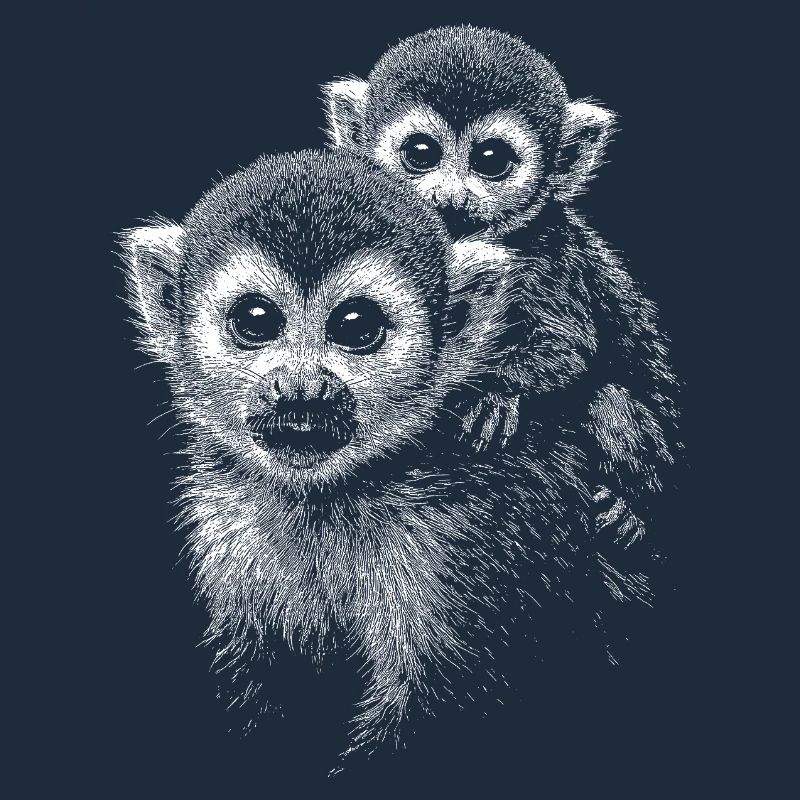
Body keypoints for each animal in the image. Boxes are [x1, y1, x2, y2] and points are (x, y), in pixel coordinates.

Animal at [120, 148, 648, 766]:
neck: (332, 498)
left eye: (356, 327)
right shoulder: (232, 523)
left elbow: (441, 705)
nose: (302, 389)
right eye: (255, 320)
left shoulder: (471, 534)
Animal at [322, 25, 682, 549]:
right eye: (420, 154)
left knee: (608, 398)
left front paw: (495, 395)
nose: (451, 198)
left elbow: (567, 346)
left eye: (492, 160)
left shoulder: (546, 251)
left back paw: (630, 508)